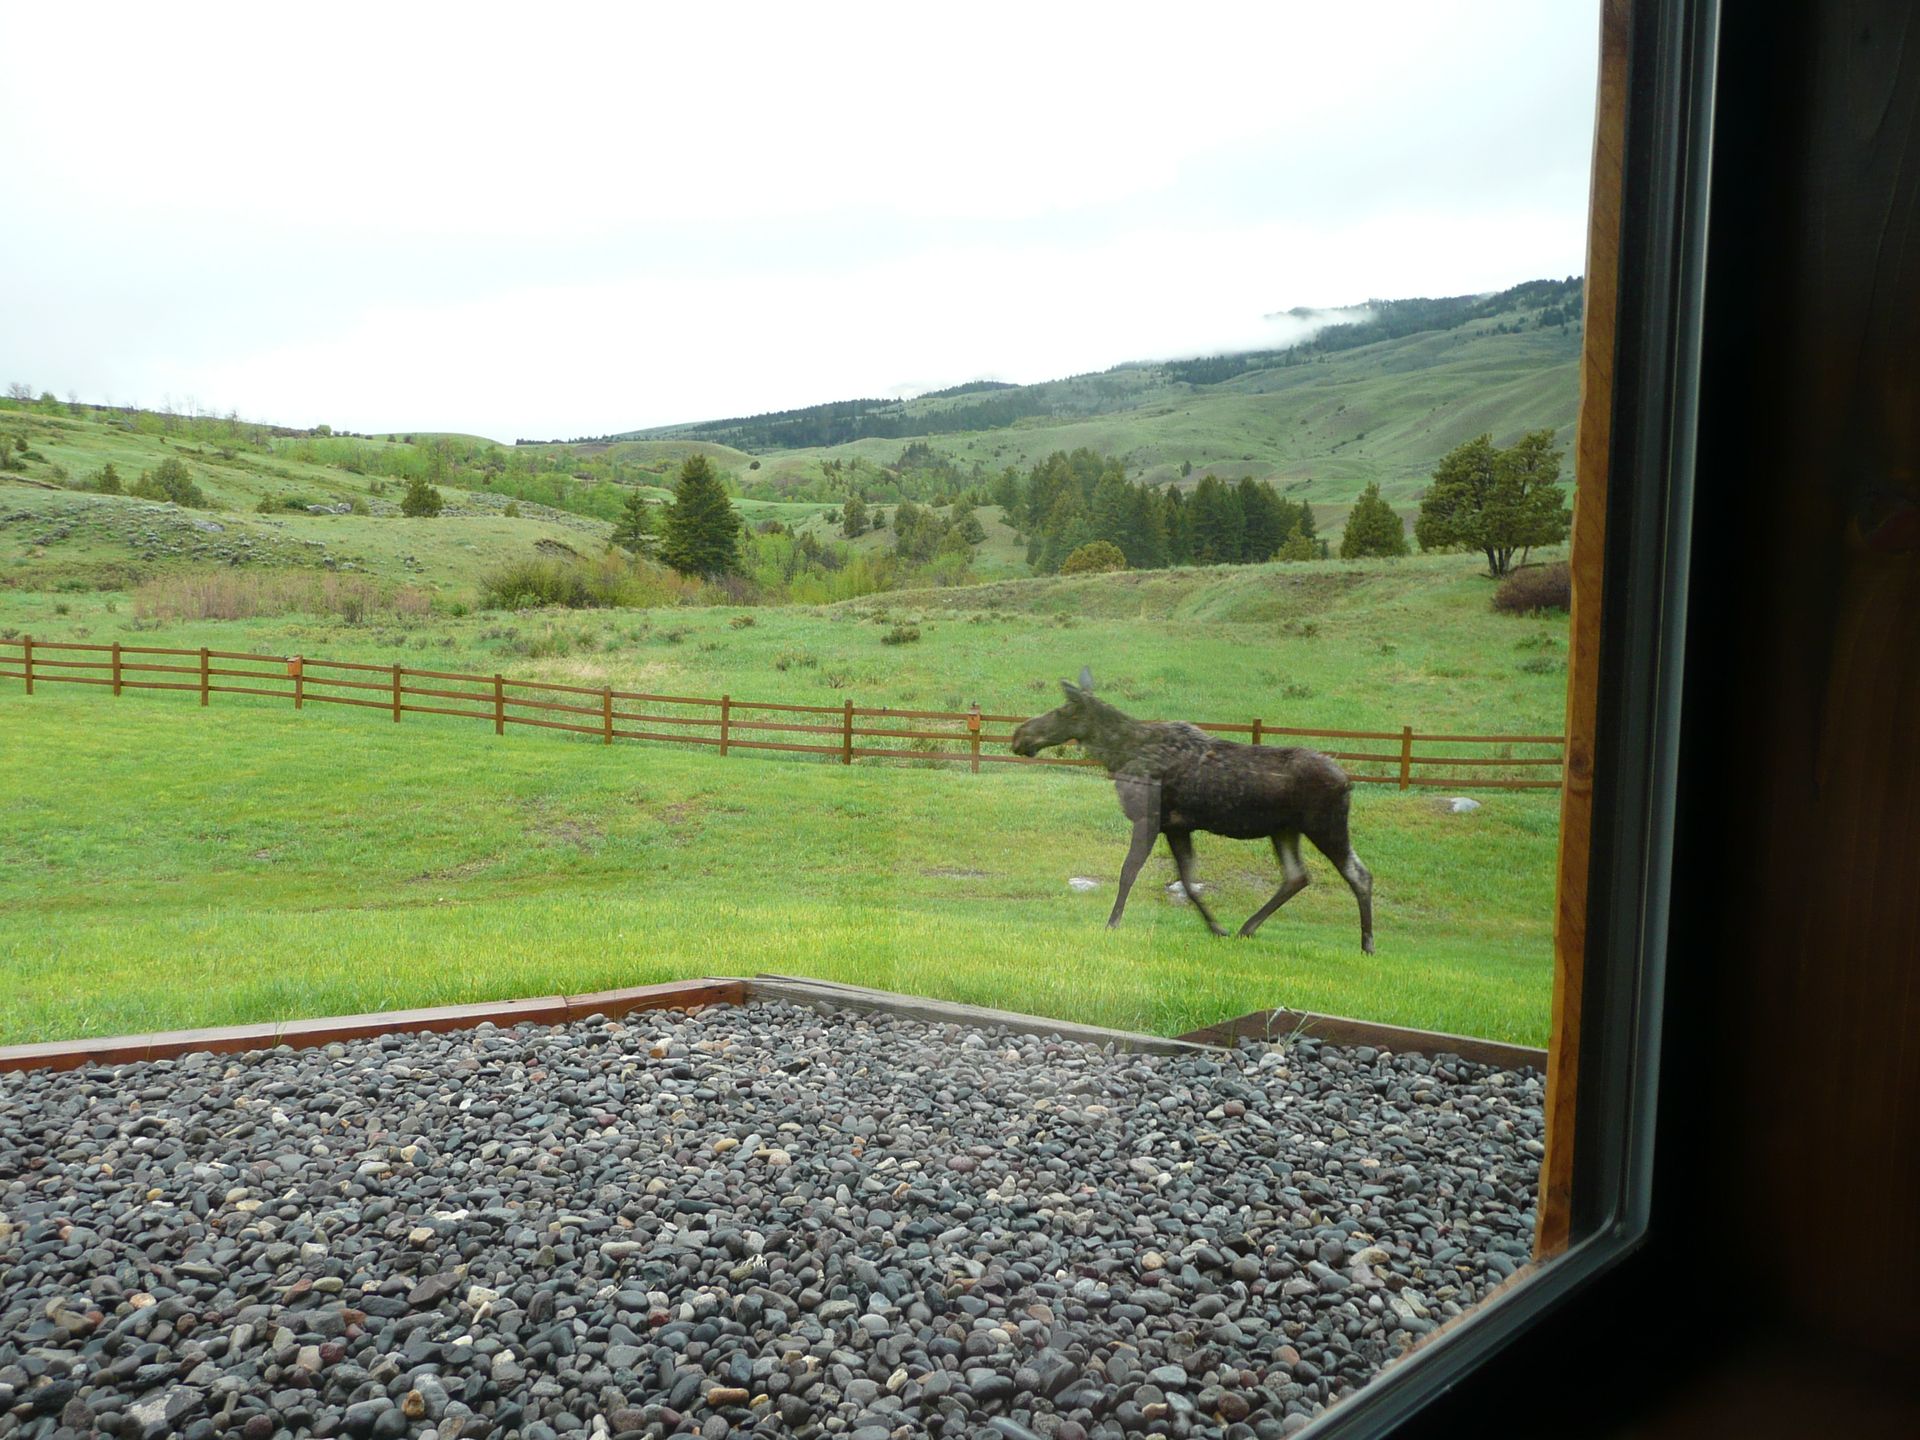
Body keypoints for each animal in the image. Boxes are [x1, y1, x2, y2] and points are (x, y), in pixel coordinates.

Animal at [1010, 668, 1375, 952]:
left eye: (1063, 710)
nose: (1019, 735)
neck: (1119, 756)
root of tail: (1348, 782)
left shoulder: (1148, 817)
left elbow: (1130, 871)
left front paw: (1112, 923)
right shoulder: (1177, 826)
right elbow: (1187, 881)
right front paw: (1217, 928)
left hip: (1325, 824)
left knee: (1359, 874)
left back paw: (1367, 944)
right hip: (1285, 829)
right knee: (1297, 876)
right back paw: (1246, 928)